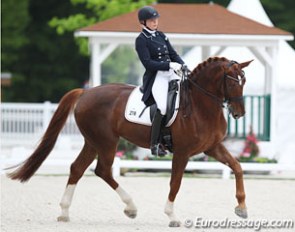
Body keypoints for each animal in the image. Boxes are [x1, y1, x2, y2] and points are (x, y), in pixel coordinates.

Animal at [7, 57, 252, 227]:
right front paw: (172, 216)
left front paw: (241, 207)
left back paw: (64, 212)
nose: (239, 113)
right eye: (233, 82)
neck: (200, 106)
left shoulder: (212, 147)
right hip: (107, 141)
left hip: (93, 142)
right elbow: (175, 183)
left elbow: (238, 167)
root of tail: (85, 93)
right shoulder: (182, 152)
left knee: (77, 168)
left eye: (244, 82)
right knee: (103, 170)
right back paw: (131, 208)